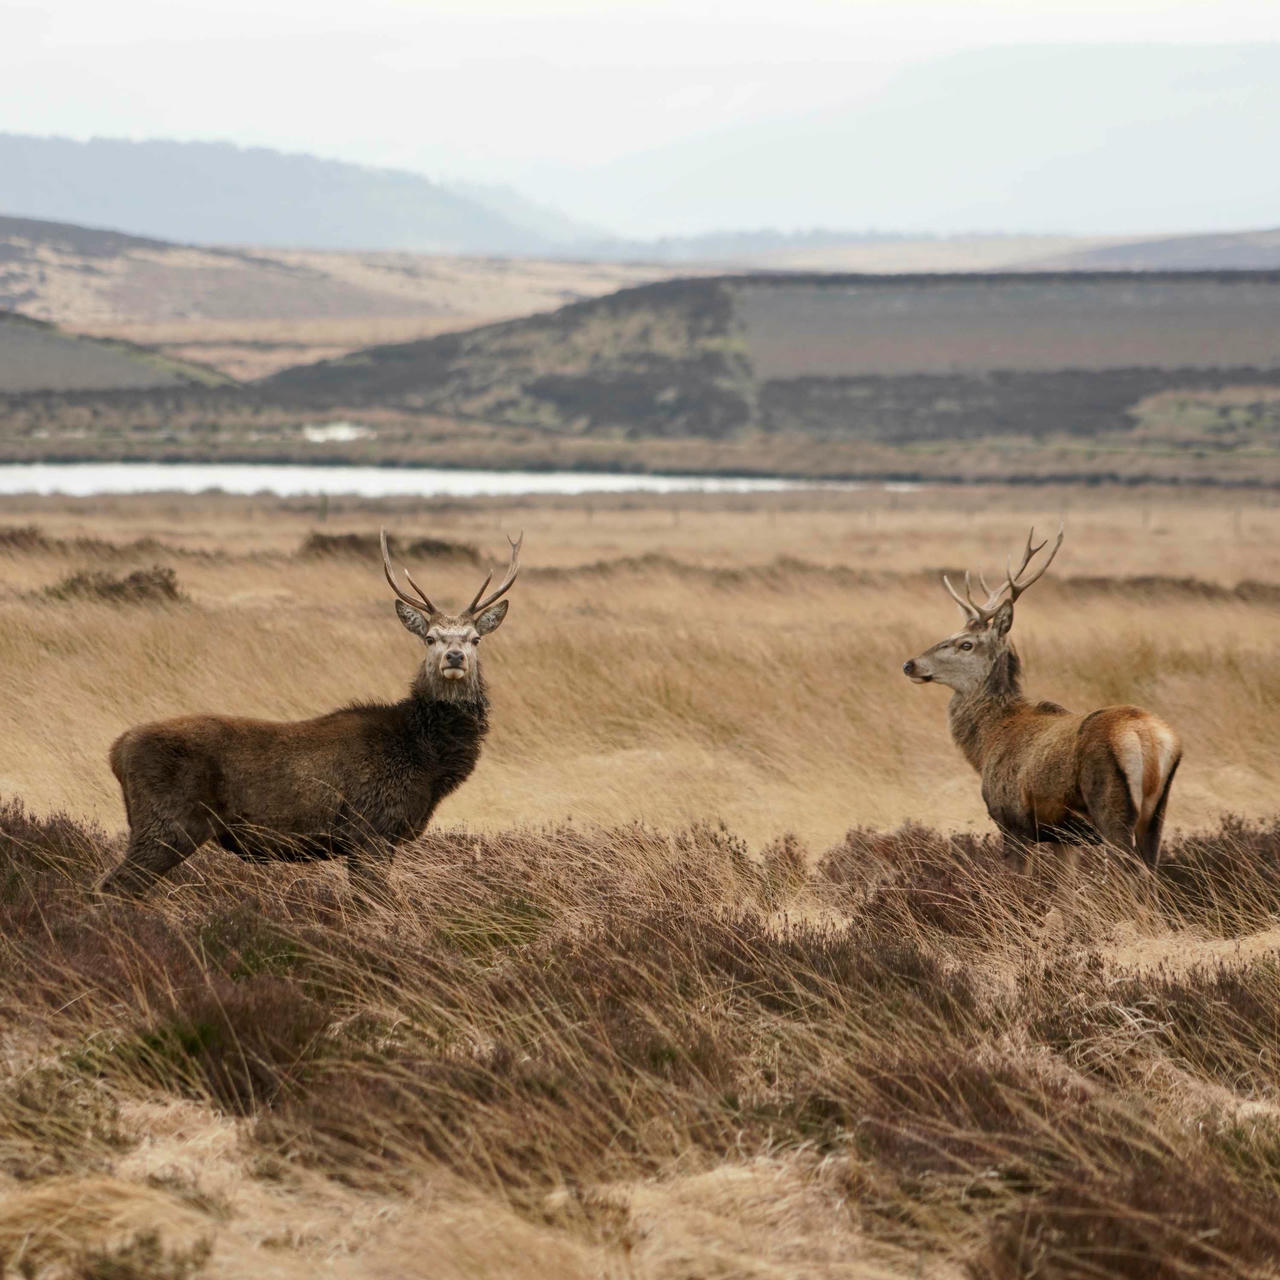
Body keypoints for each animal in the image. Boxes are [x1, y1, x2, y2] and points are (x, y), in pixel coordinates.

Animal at [98, 530, 520, 897]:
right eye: (430, 637)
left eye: (475, 638)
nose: (455, 657)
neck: (426, 758)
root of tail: (117, 750)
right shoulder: (370, 829)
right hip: (167, 822)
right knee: (113, 886)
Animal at [902, 527, 1181, 873]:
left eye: (965, 644)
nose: (910, 664)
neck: (987, 743)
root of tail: (1150, 740)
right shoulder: (1065, 837)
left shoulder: (1013, 820)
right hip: (1157, 813)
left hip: (1111, 807)